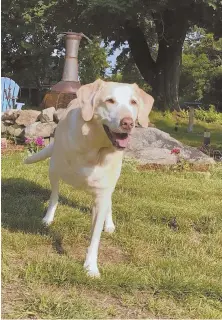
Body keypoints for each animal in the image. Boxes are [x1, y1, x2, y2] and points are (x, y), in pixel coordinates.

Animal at [23, 79, 153, 276]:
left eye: (133, 102)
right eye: (110, 101)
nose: (128, 123)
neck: (95, 149)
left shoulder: (102, 194)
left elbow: (95, 236)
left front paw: (91, 266)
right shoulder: (56, 169)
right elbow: (54, 197)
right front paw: (48, 217)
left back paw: (109, 224)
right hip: (54, 169)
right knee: (54, 195)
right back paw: (48, 218)